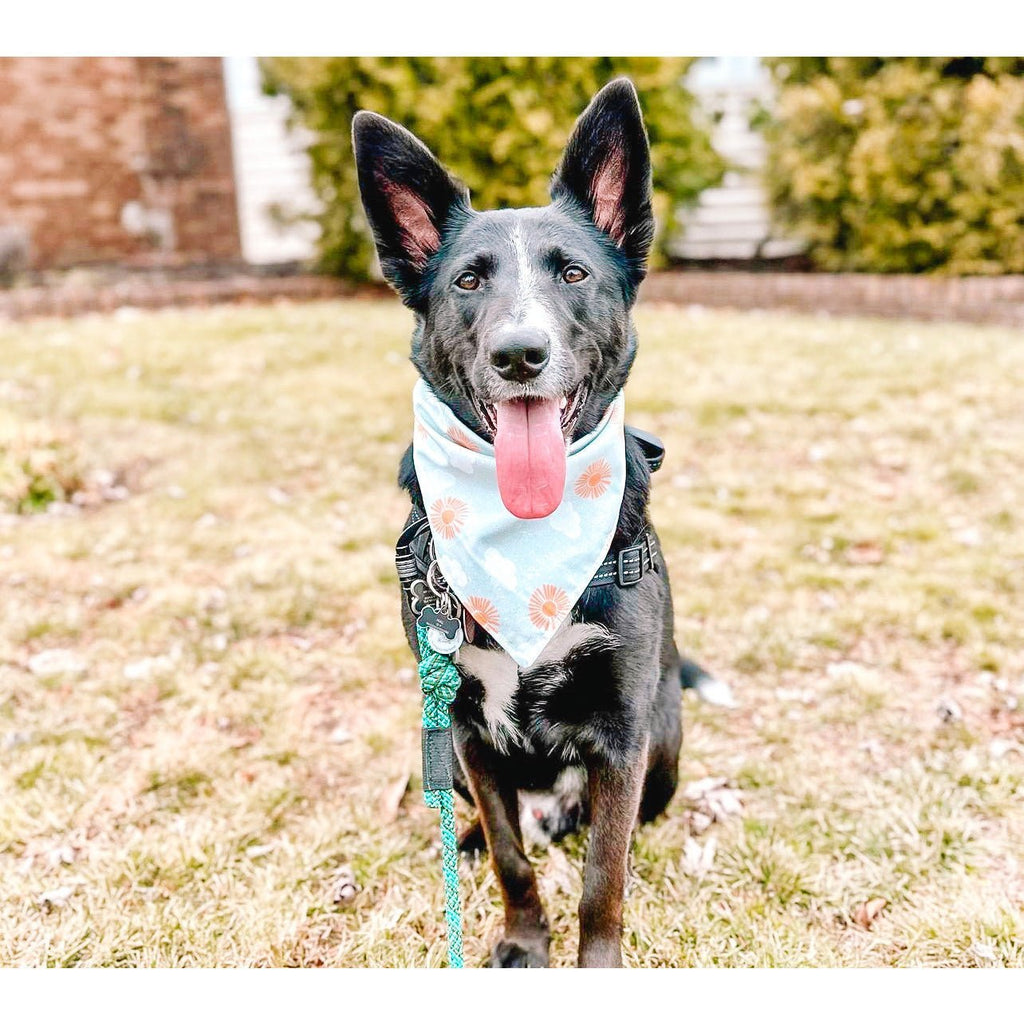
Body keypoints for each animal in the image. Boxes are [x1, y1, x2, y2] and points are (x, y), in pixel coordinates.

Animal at [356, 79, 724, 966]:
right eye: (467, 282)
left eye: (574, 272)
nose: (519, 355)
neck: (526, 546)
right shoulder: (466, 732)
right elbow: (513, 858)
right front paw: (524, 942)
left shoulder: (623, 737)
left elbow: (603, 876)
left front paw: (597, 964)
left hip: (666, 737)